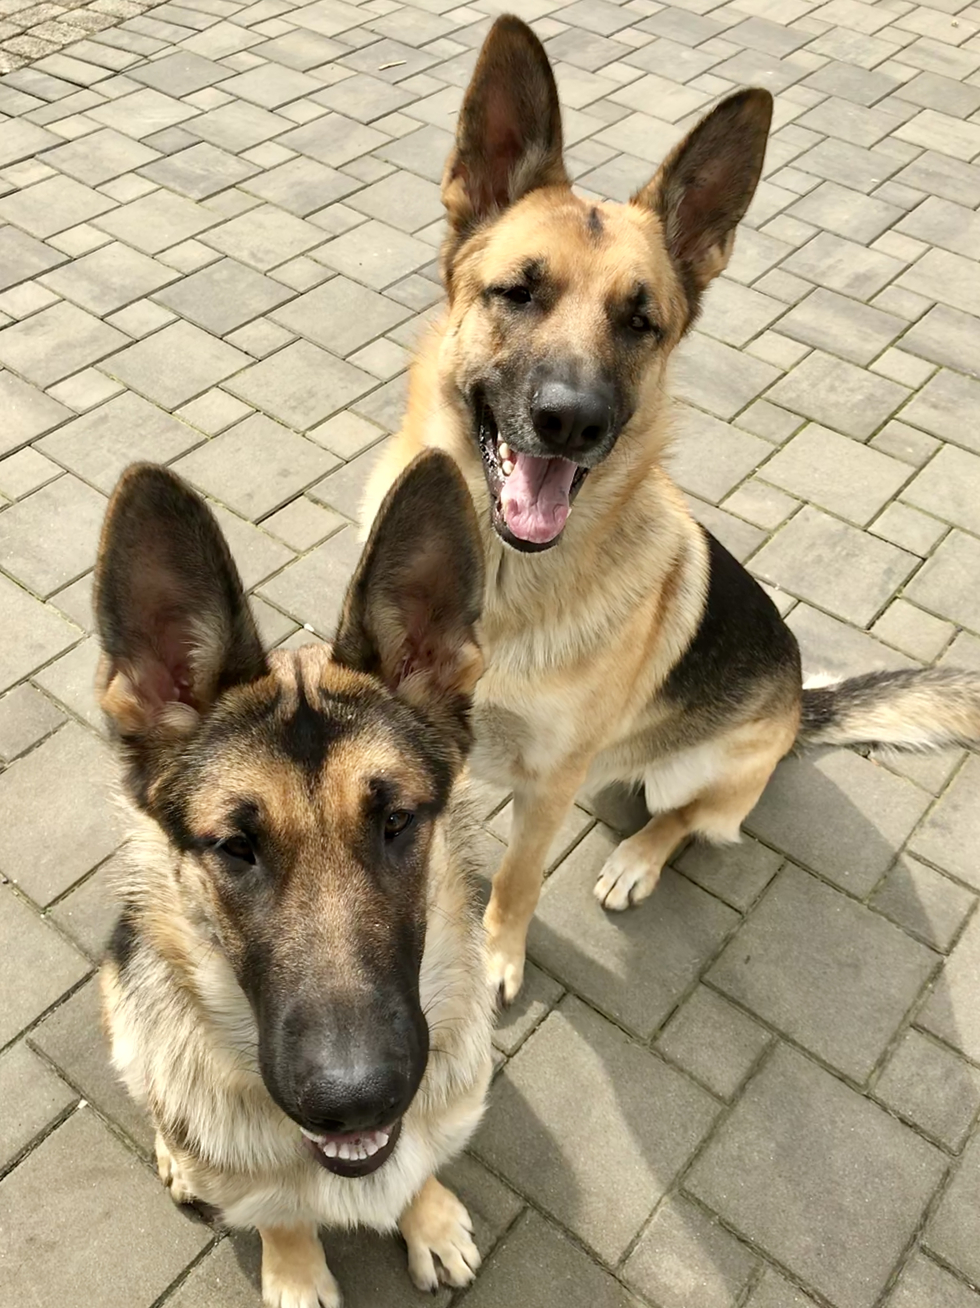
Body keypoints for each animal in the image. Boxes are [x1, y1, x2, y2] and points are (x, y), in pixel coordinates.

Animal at [95, 451, 493, 1308]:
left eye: (396, 820)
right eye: (235, 847)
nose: (355, 1101)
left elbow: (419, 1168)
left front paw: (427, 1215)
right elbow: (275, 1211)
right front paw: (295, 1266)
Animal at [363, 14, 980, 1005]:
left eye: (640, 321)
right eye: (518, 291)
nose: (571, 421)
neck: (504, 584)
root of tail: (799, 709)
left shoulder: (554, 780)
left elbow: (519, 876)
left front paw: (497, 954)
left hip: (709, 766)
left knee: (692, 818)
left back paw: (637, 859)